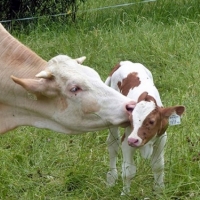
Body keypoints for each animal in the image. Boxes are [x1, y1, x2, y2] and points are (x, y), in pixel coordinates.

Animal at [105, 61, 185, 195]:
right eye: (131, 120)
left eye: (151, 121)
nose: (134, 140)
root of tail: (124, 62)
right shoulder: (127, 140)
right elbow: (128, 171)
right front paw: (125, 194)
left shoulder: (161, 138)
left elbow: (158, 166)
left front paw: (159, 190)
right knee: (113, 145)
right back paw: (111, 178)